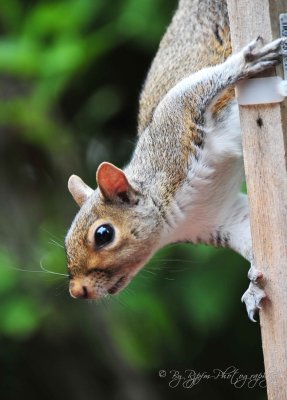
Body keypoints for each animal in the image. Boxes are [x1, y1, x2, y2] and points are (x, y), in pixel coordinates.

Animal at [65, 0, 287, 320]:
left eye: (103, 234)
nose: (76, 291)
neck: (175, 217)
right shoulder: (221, 218)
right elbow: (254, 239)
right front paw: (254, 288)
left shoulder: (175, 131)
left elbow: (190, 92)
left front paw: (245, 63)